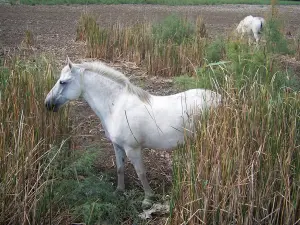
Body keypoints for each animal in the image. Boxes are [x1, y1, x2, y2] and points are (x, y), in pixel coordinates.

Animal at [45, 58, 223, 209]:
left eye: (63, 82)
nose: (47, 103)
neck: (116, 105)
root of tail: (221, 99)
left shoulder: (133, 149)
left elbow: (141, 173)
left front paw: (148, 198)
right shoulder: (117, 146)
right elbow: (120, 168)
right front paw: (119, 190)